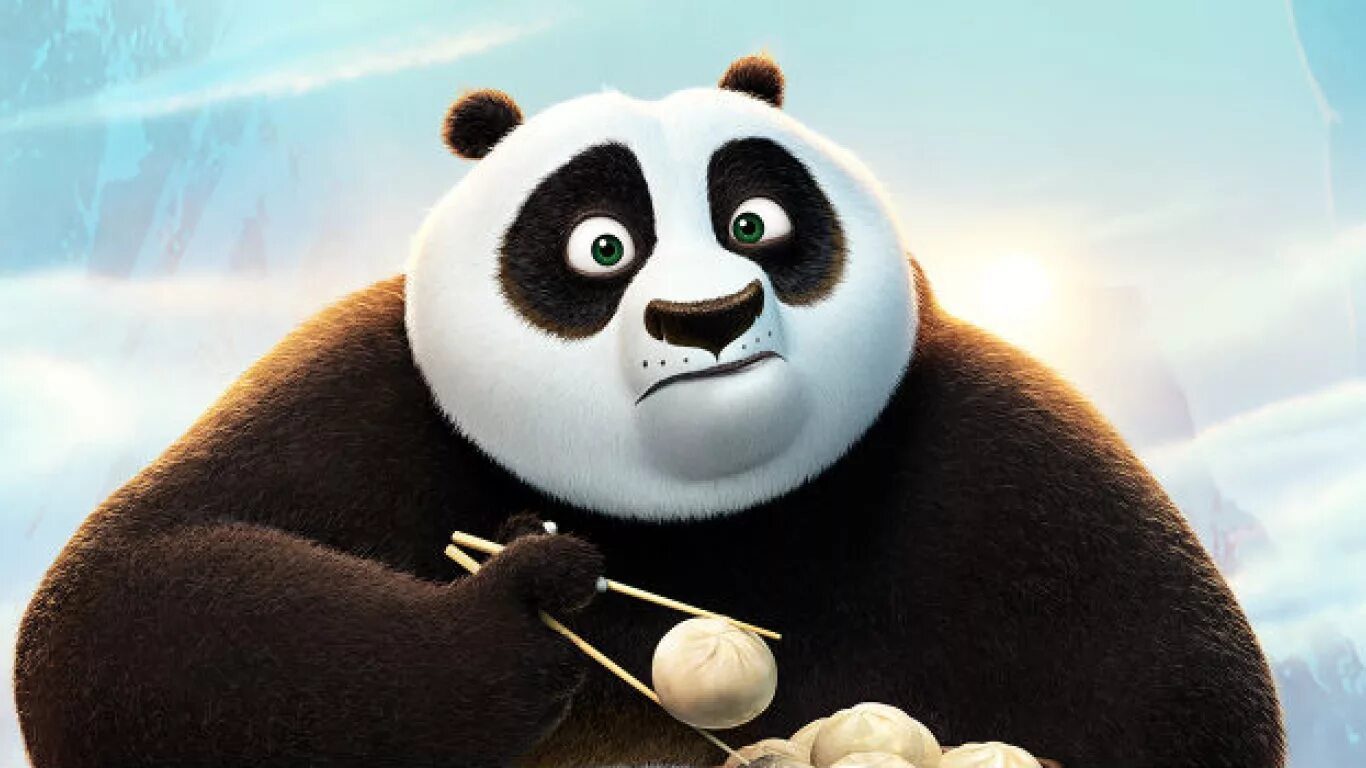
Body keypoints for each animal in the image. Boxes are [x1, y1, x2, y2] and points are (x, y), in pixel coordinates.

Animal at [16, 56, 1283, 768]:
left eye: (755, 223)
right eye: (600, 247)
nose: (706, 317)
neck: (698, 516)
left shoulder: (978, 444)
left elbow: (1169, 681)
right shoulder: (375, 392)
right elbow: (132, 610)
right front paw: (520, 601)